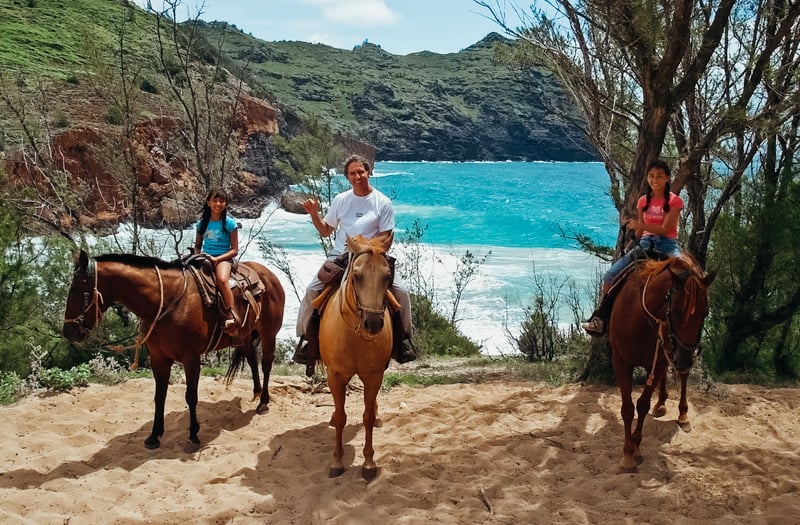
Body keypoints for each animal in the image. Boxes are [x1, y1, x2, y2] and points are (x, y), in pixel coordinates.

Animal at [61, 250, 284, 450]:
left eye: (77, 291)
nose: (68, 332)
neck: (168, 302)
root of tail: (268, 274)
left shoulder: (191, 358)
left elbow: (190, 397)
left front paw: (193, 436)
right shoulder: (158, 358)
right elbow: (159, 396)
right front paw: (154, 436)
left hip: (268, 333)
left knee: (266, 364)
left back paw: (263, 402)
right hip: (244, 336)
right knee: (252, 359)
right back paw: (256, 392)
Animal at [318, 235, 396, 482]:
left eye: (387, 276)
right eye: (357, 276)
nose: (373, 323)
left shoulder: (374, 376)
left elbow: (367, 416)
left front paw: (369, 464)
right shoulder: (335, 375)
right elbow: (341, 417)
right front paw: (336, 461)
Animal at [608, 254, 716, 470]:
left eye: (706, 313)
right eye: (675, 311)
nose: (684, 358)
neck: (640, 321)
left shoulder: (658, 364)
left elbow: (642, 405)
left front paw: (635, 447)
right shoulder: (621, 362)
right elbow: (627, 409)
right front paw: (628, 454)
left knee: (682, 378)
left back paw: (683, 416)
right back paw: (661, 404)